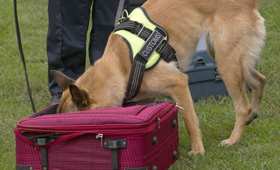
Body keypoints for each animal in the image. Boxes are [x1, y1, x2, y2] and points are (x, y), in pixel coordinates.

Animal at [50, 0, 266, 155]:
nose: (51, 141)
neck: (119, 66)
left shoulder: (179, 83)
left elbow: (189, 120)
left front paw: (197, 150)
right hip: (230, 59)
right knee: (260, 80)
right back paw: (253, 114)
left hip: (226, 63)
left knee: (243, 106)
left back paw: (233, 140)